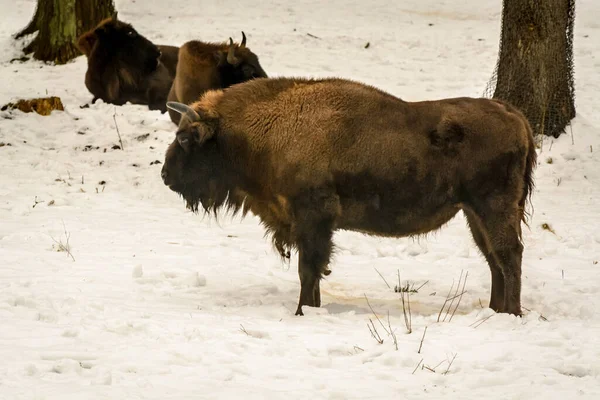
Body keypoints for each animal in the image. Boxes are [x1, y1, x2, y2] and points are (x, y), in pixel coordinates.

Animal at [162, 76, 536, 318]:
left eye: (185, 139)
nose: (166, 175)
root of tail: (515, 115)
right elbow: (312, 271)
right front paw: (311, 307)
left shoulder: (313, 219)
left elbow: (308, 269)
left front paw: (302, 310)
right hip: (475, 213)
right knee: (494, 259)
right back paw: (496, 310)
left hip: (493, 207)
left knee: (509, 255)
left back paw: (512, 314)